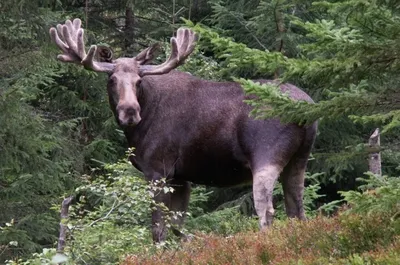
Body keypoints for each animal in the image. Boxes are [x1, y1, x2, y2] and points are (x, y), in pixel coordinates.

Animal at [50, 18, 318, 241]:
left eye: (139, 81)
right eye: (112, 80)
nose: (129, 111)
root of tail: (307, 110)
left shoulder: (158, 169)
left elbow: (158, 228)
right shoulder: (181, 177)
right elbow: (178, 226)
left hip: (266, 155)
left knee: (267, 209)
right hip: (299, 160)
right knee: (297, 209)